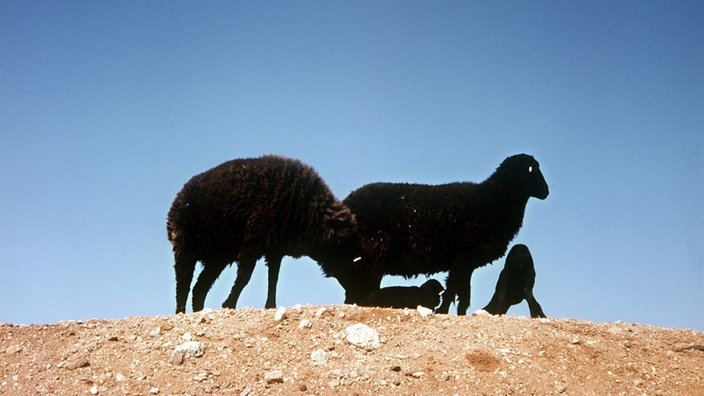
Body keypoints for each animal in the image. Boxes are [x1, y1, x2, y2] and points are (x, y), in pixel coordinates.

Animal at [168, 154, 360, 312]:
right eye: (346, 251)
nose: (355, 296)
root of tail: (179, 198)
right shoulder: (253, 242)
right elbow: (245, 276)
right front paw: (229, 304)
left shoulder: (275, 249)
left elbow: (273, 278)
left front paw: (270, 306)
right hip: (185, 248)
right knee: (183, 284)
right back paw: (180, 313)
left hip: (217, 258)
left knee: (199, 288)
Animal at [344, 154, 548, 316]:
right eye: (532, 170)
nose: (547, 192)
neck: (495, 198)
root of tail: (349, 200)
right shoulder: (462, 258)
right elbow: (453, 290)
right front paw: (443, 311)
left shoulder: (466, 263)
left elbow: (463, 293)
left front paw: (459, 314)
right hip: (371, 255)